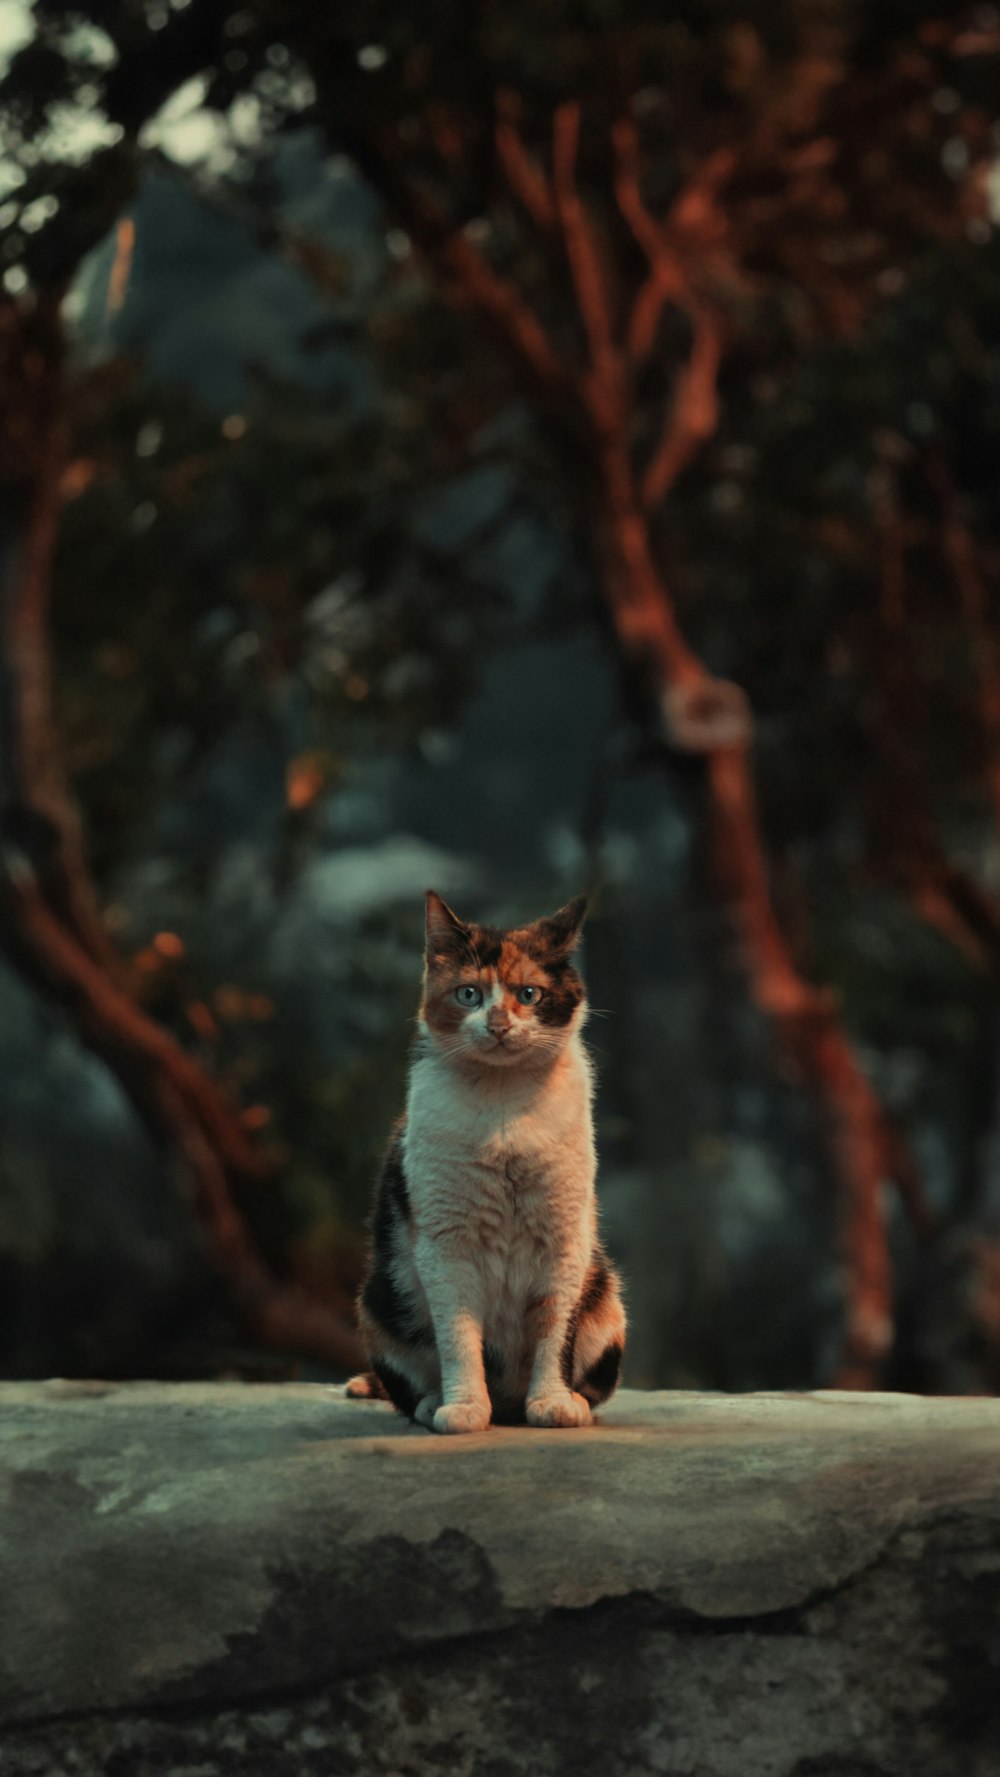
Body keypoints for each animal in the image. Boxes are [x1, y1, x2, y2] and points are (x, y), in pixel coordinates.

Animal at [346, 888, 625, 1428]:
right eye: (469, 995)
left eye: (529, 994)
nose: (498, 1024)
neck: (502, 1103)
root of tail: (508, 1401)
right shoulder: (444, 1242)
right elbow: (457, 1335)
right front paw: (463, 1409)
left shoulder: (564, 1239)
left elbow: (556, 1328)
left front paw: (554, 1402)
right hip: (375, 1301)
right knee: (405, 1383)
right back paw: (434, 1403)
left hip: (607, 1295)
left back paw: (569, 1401)